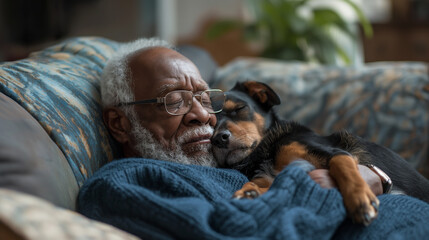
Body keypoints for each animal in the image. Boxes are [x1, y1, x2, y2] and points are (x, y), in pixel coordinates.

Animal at [212, 80, 428, 225]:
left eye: (239, 108)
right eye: (210, 124)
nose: (218, 138)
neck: (264, 151)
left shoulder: (336, 152)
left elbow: (343, 168)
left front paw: (360, 199)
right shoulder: (270, 178)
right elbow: (269, 186)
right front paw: (248, 192)